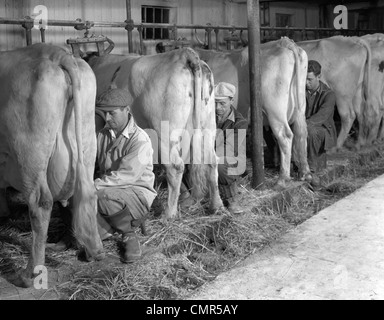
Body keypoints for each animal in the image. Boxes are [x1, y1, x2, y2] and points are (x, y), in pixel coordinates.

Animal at [0, 43, 104, 288]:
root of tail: (58, 54)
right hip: (86, 139)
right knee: (85, 193)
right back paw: (90, 249)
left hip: (29, 152)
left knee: (40, 203)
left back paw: (30, 274)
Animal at [86, 48, 225, 220]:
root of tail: (184, 54)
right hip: (208, 123)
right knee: (212, 161)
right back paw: (216, 206)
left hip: (165, 130)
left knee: (175, 166)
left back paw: (168, 214)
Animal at [195, 37, 312, 188]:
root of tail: (285, 42)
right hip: (299, 107)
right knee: (301, 134)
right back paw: (305, 173)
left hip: (275, 109)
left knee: (285, 135)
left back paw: (282, 179)